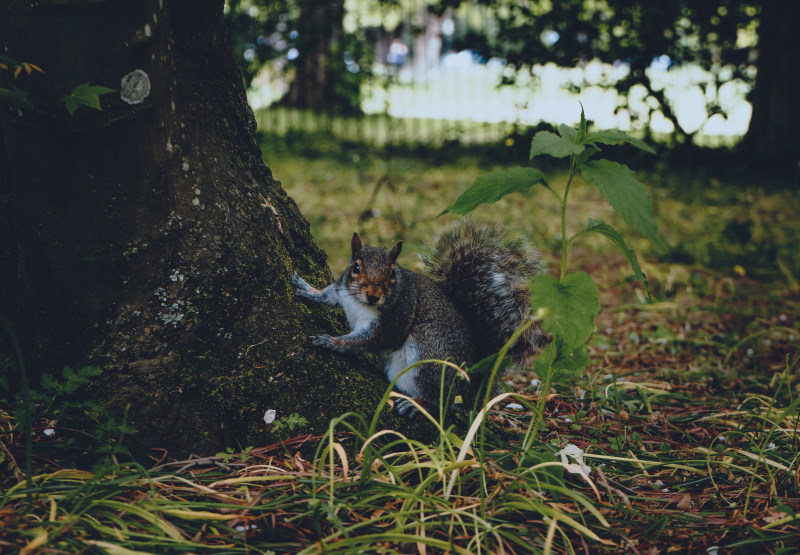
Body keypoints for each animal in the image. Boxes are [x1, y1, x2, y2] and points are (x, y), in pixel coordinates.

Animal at [290, 218, 552, 416]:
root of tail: (468, 384)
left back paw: (418, 404)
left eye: (392, 274)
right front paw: (307, 289)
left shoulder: (393, 321)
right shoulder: (341, 292)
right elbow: (327, 296)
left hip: (428, 350)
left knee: (444, 403)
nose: (373, 295)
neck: (359, 303)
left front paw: (331, 342)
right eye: (356, 267)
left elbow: (366, 341)